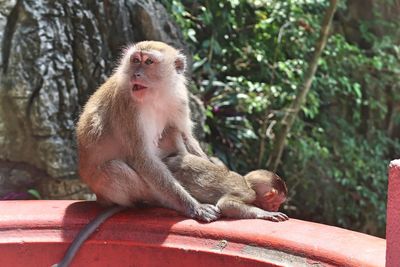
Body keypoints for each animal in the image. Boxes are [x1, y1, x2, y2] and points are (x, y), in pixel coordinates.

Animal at [76, 40, 219, 223]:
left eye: (149, 62)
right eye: (136, 60)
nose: (136, 74)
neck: (155, 96)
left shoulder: (179, 99)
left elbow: (187, 137)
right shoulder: (127, 107)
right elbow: (142, 158)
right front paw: (195, 206)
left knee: (172, 130)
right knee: (113, 169)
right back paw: (159, 201)